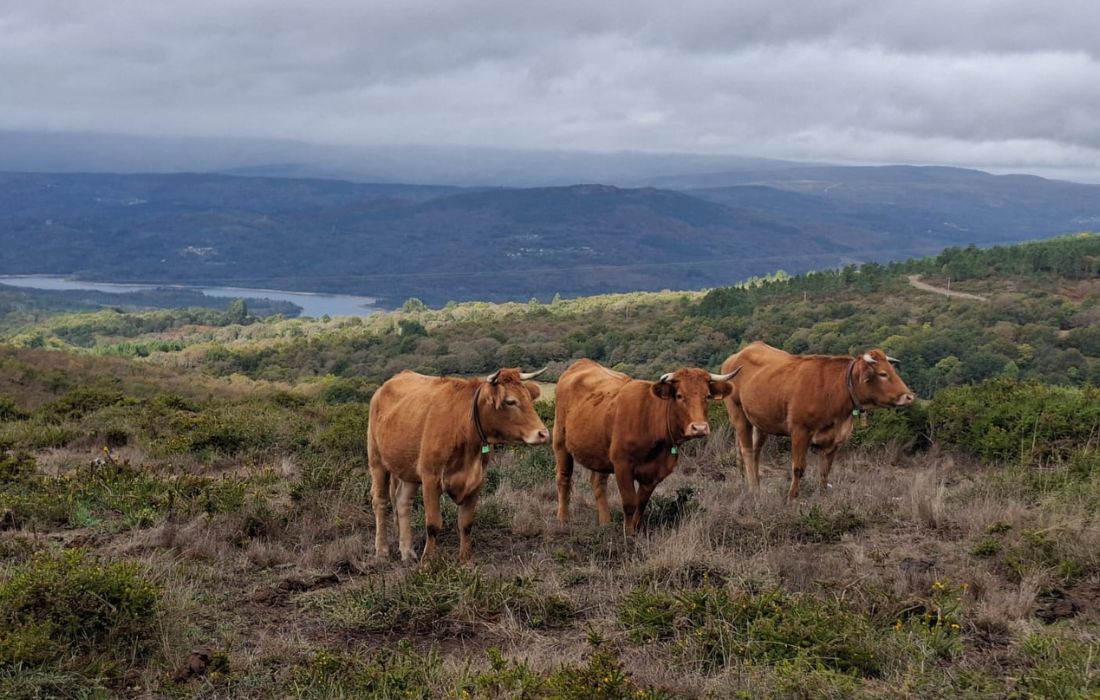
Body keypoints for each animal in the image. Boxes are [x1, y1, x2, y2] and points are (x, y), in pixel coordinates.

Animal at [368, 367, 549, 563]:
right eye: (511, 401)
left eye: (529, 398)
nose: (543, 434)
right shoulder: (430, 477)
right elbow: (433, 524)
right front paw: (428, 561)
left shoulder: (477, 480)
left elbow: (466, 523)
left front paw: (465, 560)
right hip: (377, 460)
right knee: (380, 501)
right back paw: (382, 550)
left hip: (409, 468)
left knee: (402, 501)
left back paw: (407, 552)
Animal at [553, 359, 739, 535]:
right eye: (679, 396)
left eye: (707, 396)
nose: (699, 428)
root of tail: (583, 363)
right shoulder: (622, 465)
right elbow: (630, 503)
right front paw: (627, 534)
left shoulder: (655, 473)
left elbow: (641, 504)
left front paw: (636, 531)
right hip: (560, 442)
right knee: (564, 479)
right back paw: (563, 520)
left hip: (598, 451)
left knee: (598, 483)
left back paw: (605, 522)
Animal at [720, 342, 915, 501]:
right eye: (883, 374)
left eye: (892, 371)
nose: (909, 396)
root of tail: (737, 355)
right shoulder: (800, 431)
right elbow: (798, 468)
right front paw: (792, 497)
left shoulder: (834, 440)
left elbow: (825, 471)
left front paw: (822, 496)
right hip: (738, 414)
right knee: (747, 450)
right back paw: (753, 489)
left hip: (761, 421)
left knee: (755, 450)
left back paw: (752, 483)